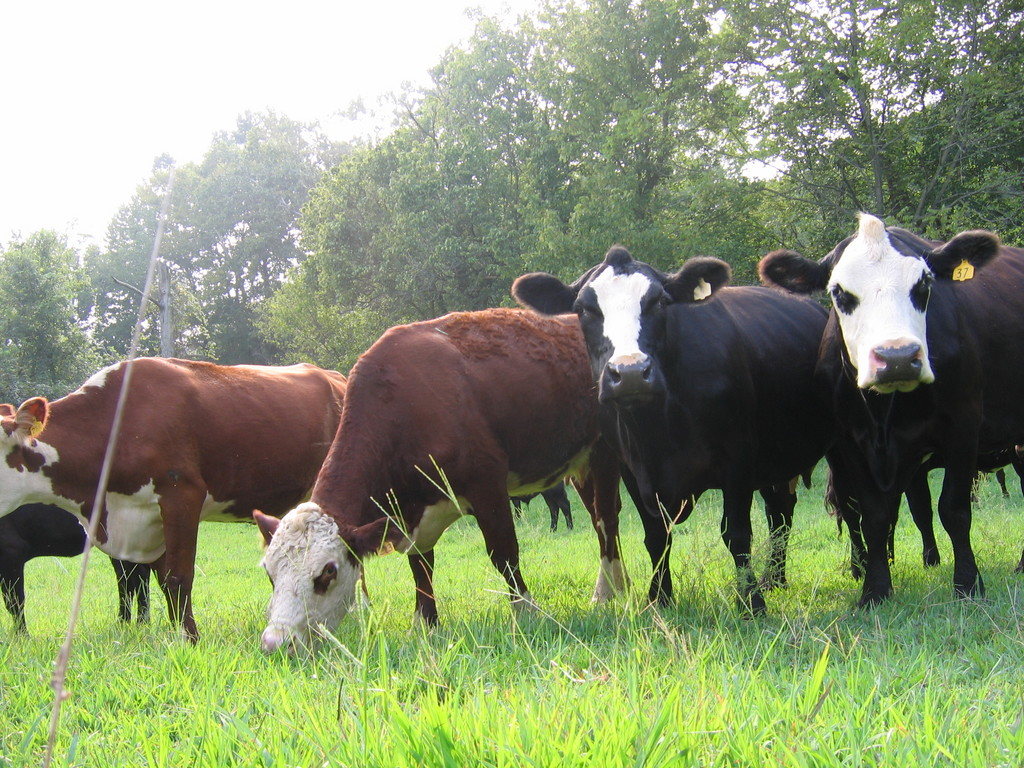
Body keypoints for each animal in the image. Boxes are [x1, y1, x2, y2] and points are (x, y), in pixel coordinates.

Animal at [254, 309, 622, 651]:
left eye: (327, 572)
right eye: (269, 573)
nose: (276, 643)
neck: (405, 407)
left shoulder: (487, 485)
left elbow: (504, 552)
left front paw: (525, 612)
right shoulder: (410, 514)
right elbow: (421, 567)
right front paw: (425, 624)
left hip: (604, 451)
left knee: (606, 519)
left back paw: (607, 591)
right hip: (581, 465)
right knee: (599, 517)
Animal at [516, 246, 835, 614]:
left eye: (659, 302)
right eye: (584, 309)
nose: (631, 373)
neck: (659, 427)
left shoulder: (738, 459)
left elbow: (736, 533)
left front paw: (750, 602)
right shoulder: (633, 469)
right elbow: (656, 536)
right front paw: (659, 599)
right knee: (780, 512)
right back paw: (775, 579)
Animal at [761, 211, 1024, 606]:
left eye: (925, 284)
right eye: (838, 292)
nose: (897, 357)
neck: (885, 411)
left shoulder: (963, 426)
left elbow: (953, 509)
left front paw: (967, 583)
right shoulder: (850, 443)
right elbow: (873, 513)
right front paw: (875, 588)